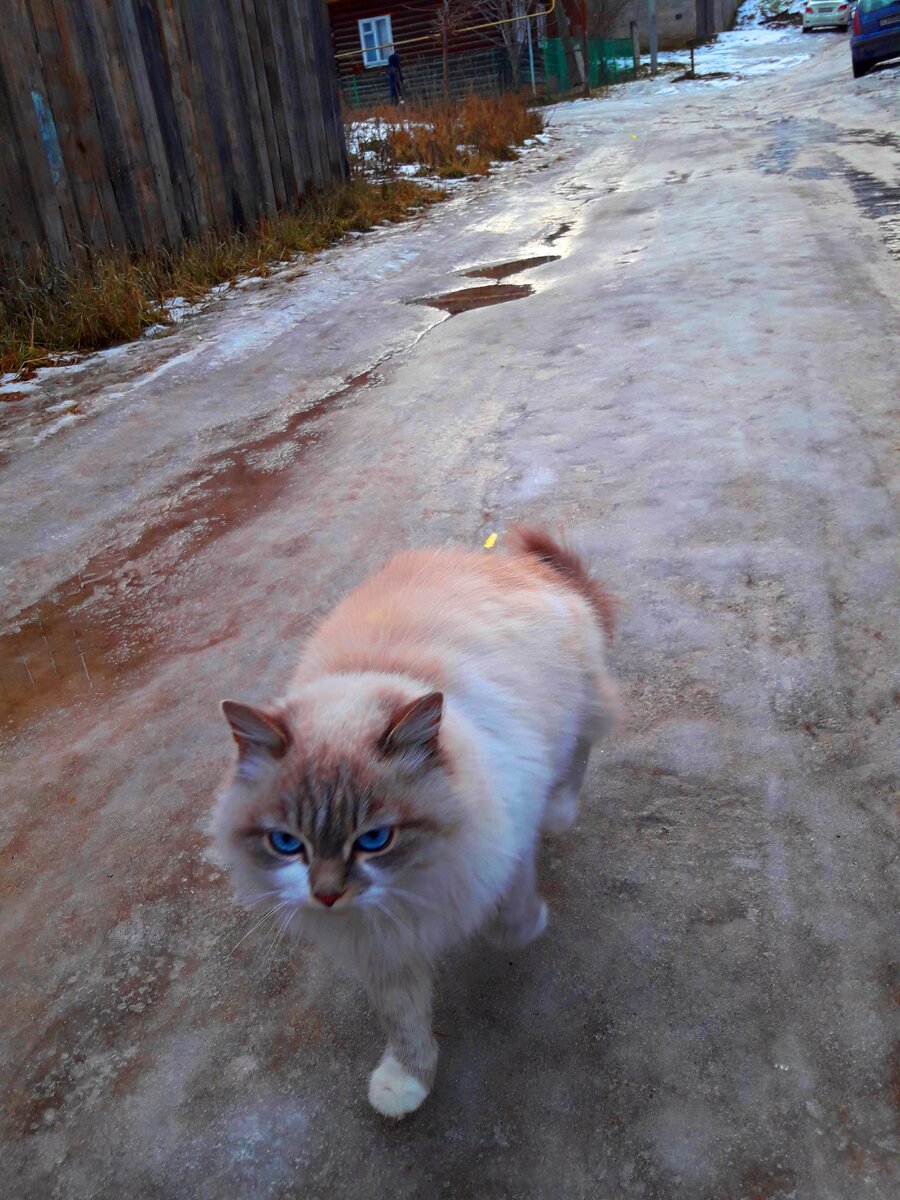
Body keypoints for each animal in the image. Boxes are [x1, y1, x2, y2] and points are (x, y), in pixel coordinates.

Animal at [212, 530, 619, 1118]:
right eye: (287, 843)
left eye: (375, 839)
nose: (327, 896)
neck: (412, 883)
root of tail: (518, 565)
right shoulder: (381, 947)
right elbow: (404, 1022)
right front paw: (406, 1083)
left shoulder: (504, 847)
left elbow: (508, 922)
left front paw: (519, 927)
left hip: (578, 707)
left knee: (580, 750)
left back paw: (560, 808)